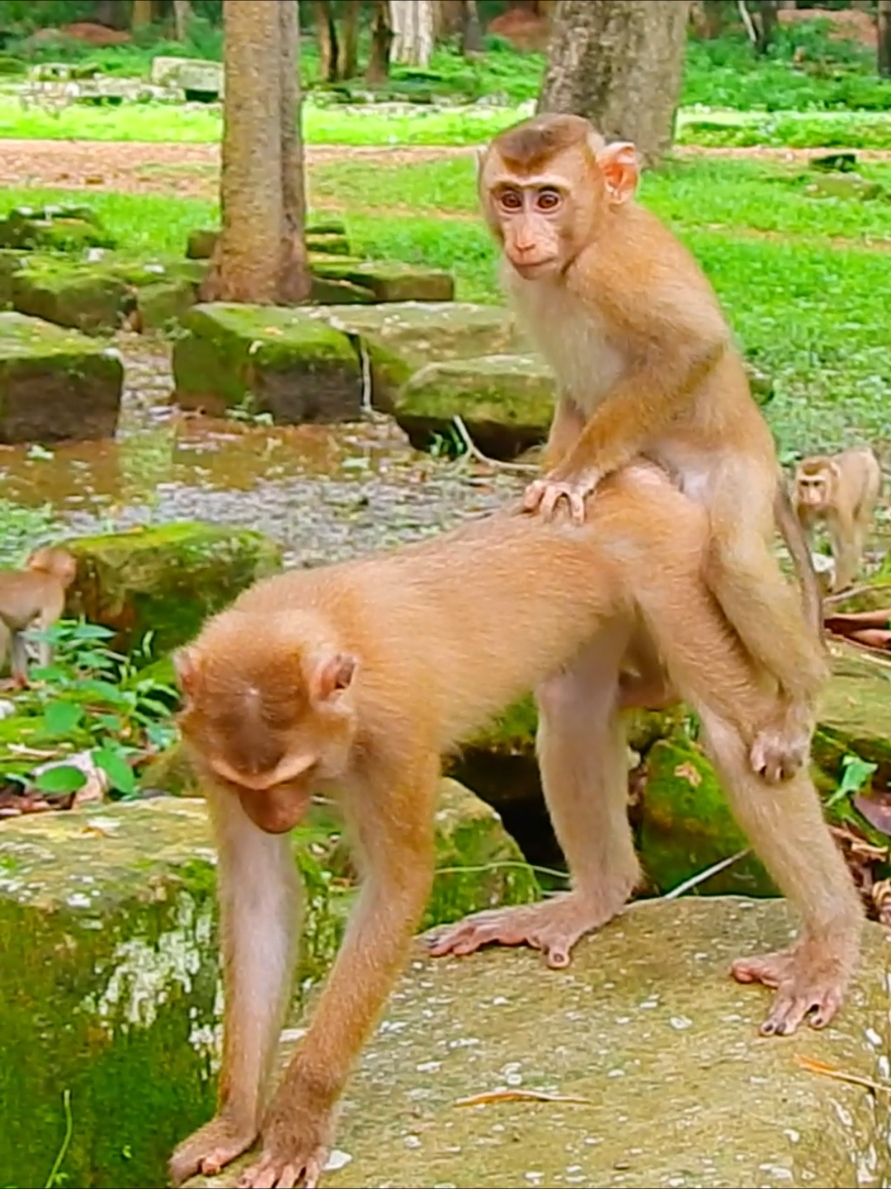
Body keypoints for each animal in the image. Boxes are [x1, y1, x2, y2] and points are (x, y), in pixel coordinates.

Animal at [0, 546, 76, 689]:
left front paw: (21, 681)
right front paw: (45, 680)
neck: (45, 571)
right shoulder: (55, 594)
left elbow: (18, 631)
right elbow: (47, 633)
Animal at [168, 461, 861, 1189]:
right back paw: (594, 894)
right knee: (573, 707)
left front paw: (298, 1122)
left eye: (291, 775)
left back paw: (828, 940)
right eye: (253, 786)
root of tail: (632, 479)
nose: (276, 815)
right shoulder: (206, 750)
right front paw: (236, 1121)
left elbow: (397, 886)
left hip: (671, 562)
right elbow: (260, 897)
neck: (315, 619)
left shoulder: (394, 734)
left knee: (735, 731)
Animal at [480, 113, 827, 789]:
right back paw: (654, 689)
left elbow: (691, 347)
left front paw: (572, 475)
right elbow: (575, 395)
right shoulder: (520, 281)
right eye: (510, 198)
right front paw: (555, 466)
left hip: (737, 469)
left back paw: (801, 702)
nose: (524, 239)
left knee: (734, 563)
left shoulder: (613, 269)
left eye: (548, 199)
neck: (585, 243)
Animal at [794, 447, 885, 594]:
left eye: (817, 484)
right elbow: (803, 541)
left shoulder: (840, 507)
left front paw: (839, 590)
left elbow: (846, 547)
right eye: (804, 484)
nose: (810, 496)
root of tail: (861, 450)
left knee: (860, 524)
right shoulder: (799, 504)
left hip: (873, 478)